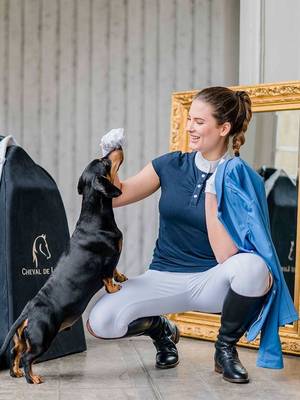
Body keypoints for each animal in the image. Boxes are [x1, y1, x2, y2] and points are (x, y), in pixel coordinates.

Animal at [0, 148, 126, 384]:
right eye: (104, 161)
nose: (116, 149)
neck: (95, 217)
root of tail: (28, 310)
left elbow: (116, 271)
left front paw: (122, 277)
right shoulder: (109, 259)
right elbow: (108, 276)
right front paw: (115, 287)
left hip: (23, 339)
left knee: (15, 353)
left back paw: (17, 373)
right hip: (42, 338)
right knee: (27, 357)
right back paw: (33, 378)